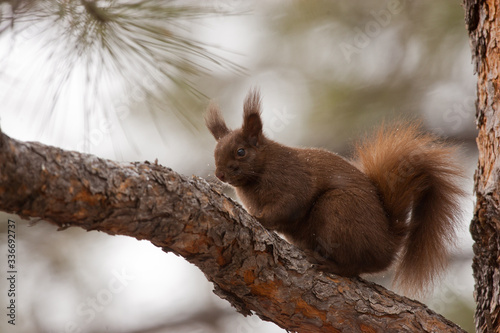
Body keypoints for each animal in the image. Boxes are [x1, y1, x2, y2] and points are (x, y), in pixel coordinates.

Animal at [205, 88, 462, 294]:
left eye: (241, 152)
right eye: (215, 152)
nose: (220, 175)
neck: (262, 169)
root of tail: (387, 246)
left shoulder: (292, 182)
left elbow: (287, 207)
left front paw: (259, 219)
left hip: (338, 208)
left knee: (352, 266)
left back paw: (329, 264)